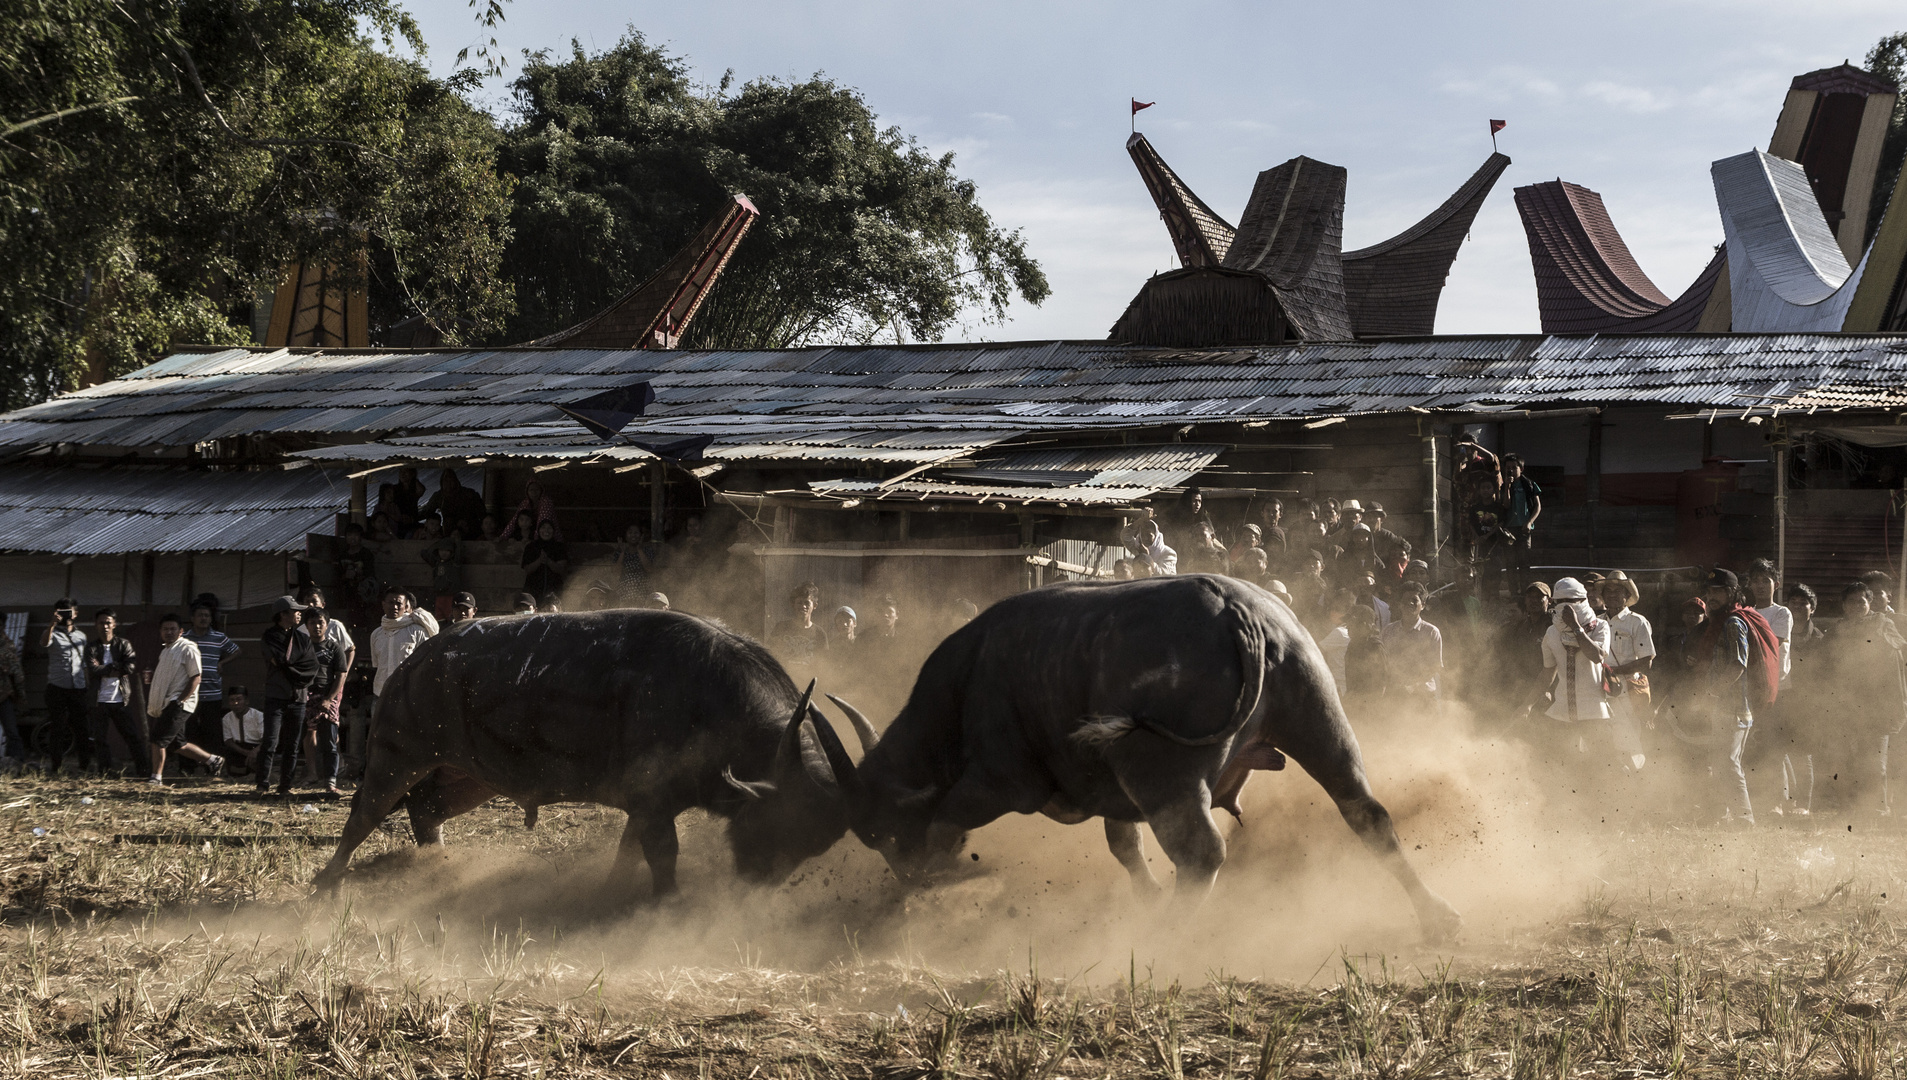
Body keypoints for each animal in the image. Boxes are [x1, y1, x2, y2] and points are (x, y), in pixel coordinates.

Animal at [310, 614, 858, 900]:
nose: (755, 888)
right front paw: (667, 904)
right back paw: (327, 883)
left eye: (809, 846)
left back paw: (437, 868)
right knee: (365, 814)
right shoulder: (654, 804)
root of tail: (412, 664)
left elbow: (629, 850)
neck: (707, 698)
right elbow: (661, 856)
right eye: (775, 827)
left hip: (469, 775)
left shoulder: (647, 806)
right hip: (397, 755)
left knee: (425, 810)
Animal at [820, 580, 1456, 942]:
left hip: (1160, 770)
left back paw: (1162, 939)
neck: (963, 687)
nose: (902, 876)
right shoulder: (1112, 793)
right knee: (1366, 812)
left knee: (1201, 852)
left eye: (880, 831)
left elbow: (944, 822)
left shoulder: (1001, 783)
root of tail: (1236, 611)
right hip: (1318, 718)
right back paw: (1437, 916)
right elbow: (1123, 845)